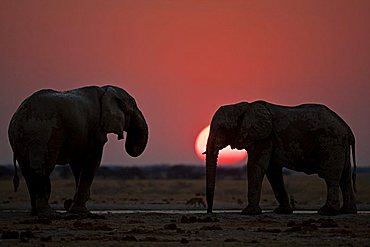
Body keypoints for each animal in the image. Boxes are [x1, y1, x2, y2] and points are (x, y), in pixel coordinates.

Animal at [8, 85, 147, 216]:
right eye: (132, 110)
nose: (66, 202)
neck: (105, 89)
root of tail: (18, 117)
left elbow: (77, 165)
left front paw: (73, 208)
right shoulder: (95, 129)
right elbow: (92, 161)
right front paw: (80, 211)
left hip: (21, 139)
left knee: (27, 170)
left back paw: (35, 213)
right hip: (42, 132)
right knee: (42, 168)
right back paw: (48, 213)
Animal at [204, 101, 356, 215]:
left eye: (223, 128)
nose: (210, 212)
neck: (243, 107)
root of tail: (347, 129)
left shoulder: (265, 137)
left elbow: (256, 166)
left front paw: (249, 213)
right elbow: (272, 171)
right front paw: (282, 211)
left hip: (332, 143)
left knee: (331, 176)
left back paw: (327, 212)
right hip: (340, 146)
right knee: (345, 177)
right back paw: (347, 211)